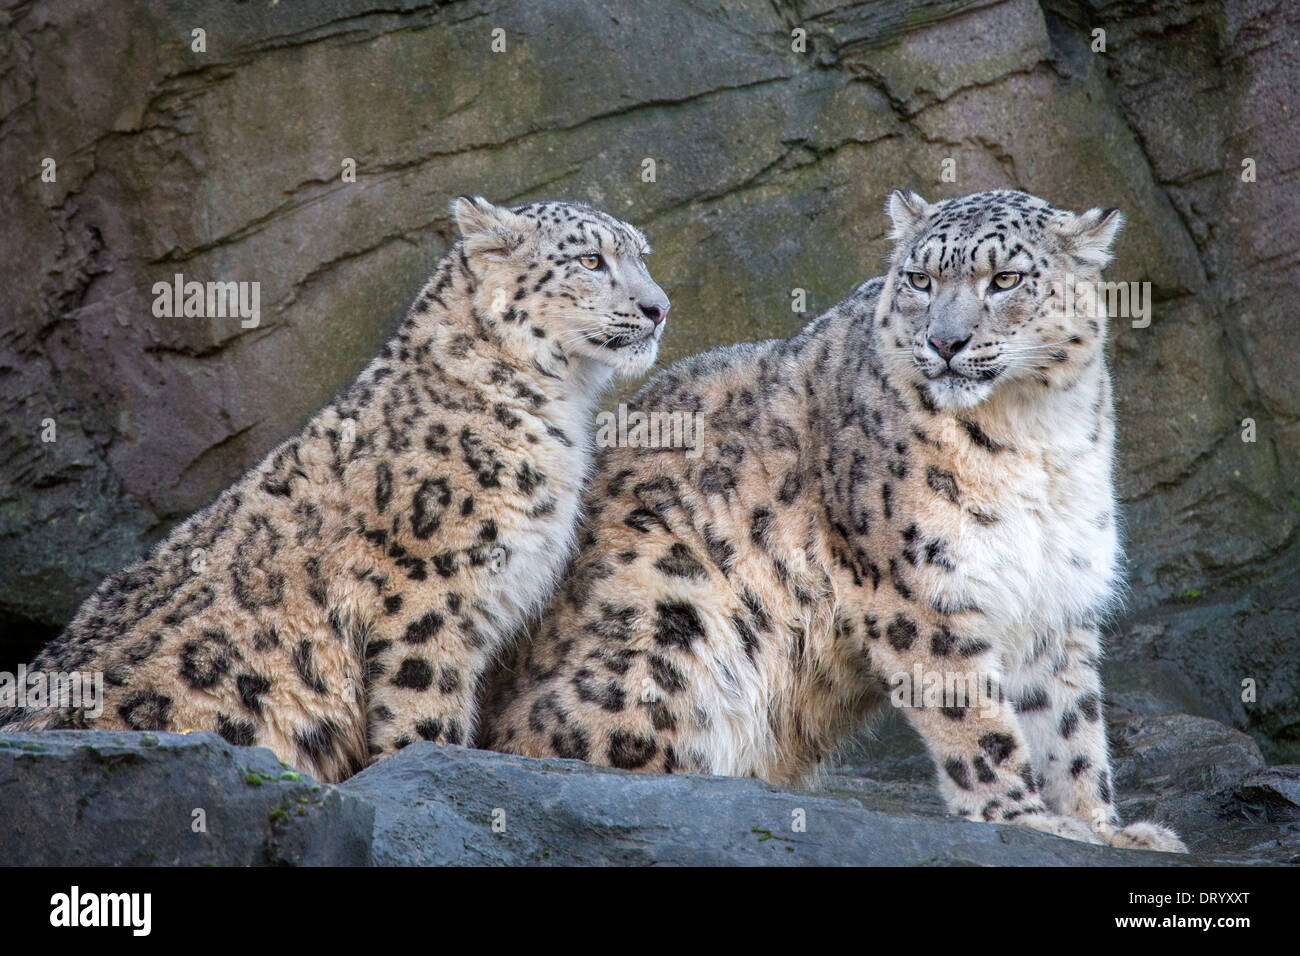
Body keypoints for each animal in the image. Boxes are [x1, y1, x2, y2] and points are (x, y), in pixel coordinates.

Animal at [7, 196, 681, 785]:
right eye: (590, 260)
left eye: (643, 256)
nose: (660, 308)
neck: (560, 408)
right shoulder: (431, 593)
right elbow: (422, 704)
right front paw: (429, 761)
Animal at [486, 187, 1190, 853]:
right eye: (920, 279)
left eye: (1006, 279)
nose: (945, 342)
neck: (1036, 433)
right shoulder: (921, 586)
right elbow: (972, 714)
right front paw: (1020, 816)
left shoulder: (1056, 590)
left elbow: (1072, 724)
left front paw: (1106, 825)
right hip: (668, 618)